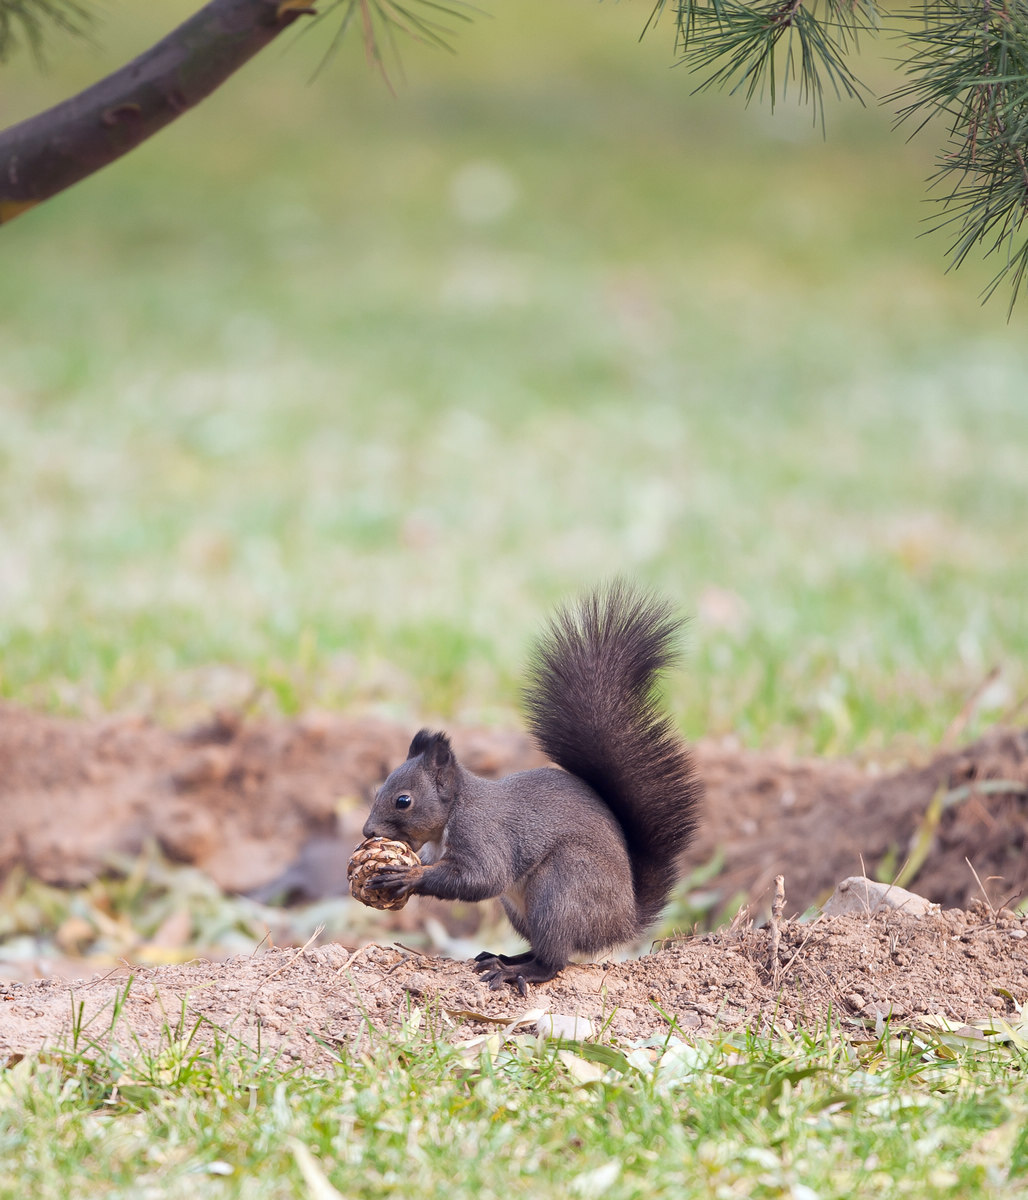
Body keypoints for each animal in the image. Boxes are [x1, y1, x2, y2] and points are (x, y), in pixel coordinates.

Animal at [359, 583, 695, 993]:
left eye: (403, 800)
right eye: (377, 791)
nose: (368, 832)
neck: (454, 810)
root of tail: (622, 923)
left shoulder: (483, 834)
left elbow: (483, 877)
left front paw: (408, 876)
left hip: (561, 890)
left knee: (554, 961)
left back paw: (518, 971)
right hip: (523, 909)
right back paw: (506, 958)